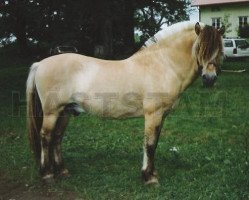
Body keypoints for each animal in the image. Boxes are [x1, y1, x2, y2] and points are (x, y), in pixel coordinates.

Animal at [26, 21, 225, 184]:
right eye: (200, 49)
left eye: (219, 51)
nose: (209, 79)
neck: (162, 65)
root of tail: (40, 64)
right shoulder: (153, 114)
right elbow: (149, 144)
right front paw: (149, 177)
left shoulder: (162, 115)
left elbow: (154, 143)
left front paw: (152, 173)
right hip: (52, 112)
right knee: (46, 137)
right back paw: (47, 175)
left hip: (65, 112)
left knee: (57, 137)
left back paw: (62, 171)